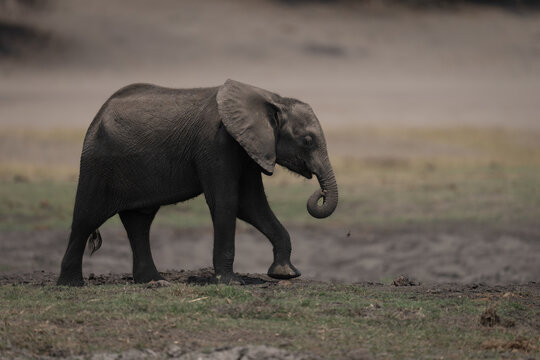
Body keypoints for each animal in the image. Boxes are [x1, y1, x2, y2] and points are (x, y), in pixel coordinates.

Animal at [58, 79, 338, 286]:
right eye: (308, 141)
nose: (319, 193)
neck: (272, 99)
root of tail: (98, 115)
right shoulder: (216, 143)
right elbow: (226, 203)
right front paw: (229, 282)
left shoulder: (248, 149)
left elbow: (251, 205)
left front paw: (284, 274)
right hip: (97, 164)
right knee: (86, 218)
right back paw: (72, 284)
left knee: (139, 223)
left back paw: (154, 282)